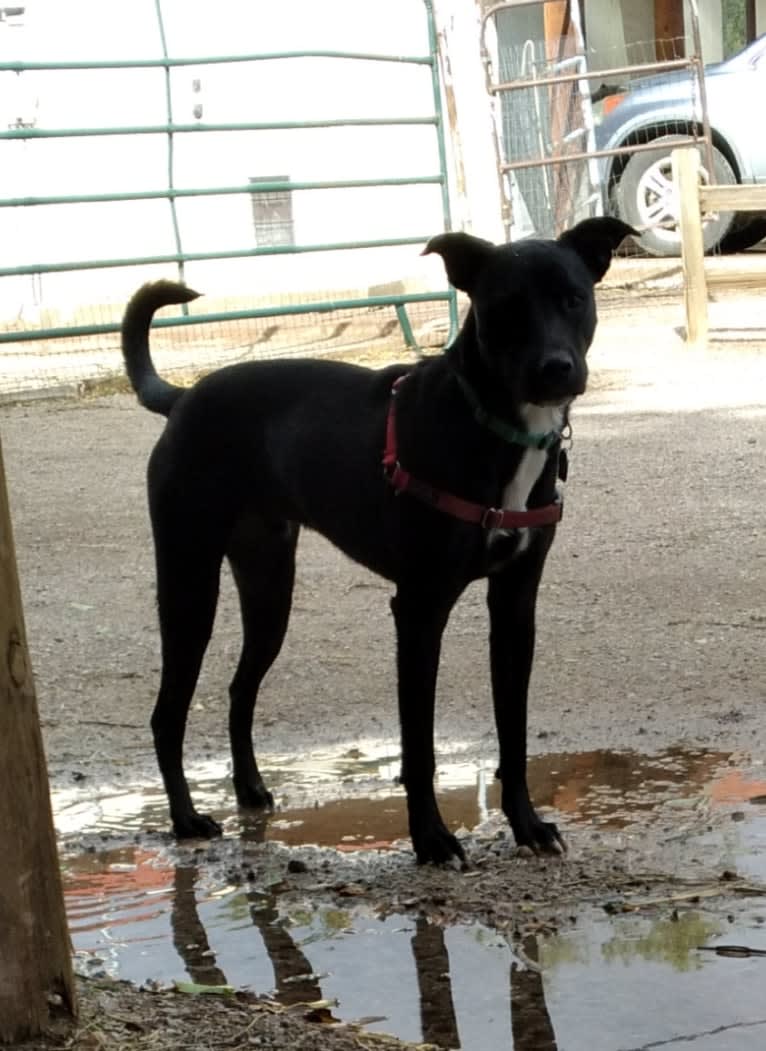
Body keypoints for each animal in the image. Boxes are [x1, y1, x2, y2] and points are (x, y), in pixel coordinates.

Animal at [120, 217, 634, 866]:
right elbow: (419, 747)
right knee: (167, 714)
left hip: (269, 590)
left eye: (573, 298)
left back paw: (250, 789)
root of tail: (184, 397)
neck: (489, 422)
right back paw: (186, 818)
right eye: (505, 307)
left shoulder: (516, 608)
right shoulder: (418, 611)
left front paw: (526, 825)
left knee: (240, 689)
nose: (555, 368)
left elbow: (513, 733)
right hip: (189, 585)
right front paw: (432, 838)